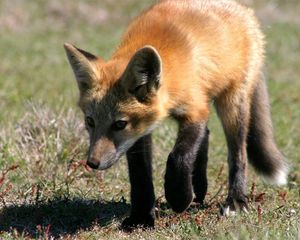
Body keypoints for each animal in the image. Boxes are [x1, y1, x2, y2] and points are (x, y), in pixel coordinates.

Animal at [63, 0, 288, 230]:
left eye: (119, 124)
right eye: (90, 121)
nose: (92, 163)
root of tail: (244, 10)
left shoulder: (195, 110)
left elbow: (178, 156)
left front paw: (179, 197)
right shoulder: (141, 130)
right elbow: (140, 175)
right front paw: (141, 218)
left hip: (232, 104)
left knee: (238, 154)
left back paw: (235, 200)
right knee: (207, 134)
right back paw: (199, 186)